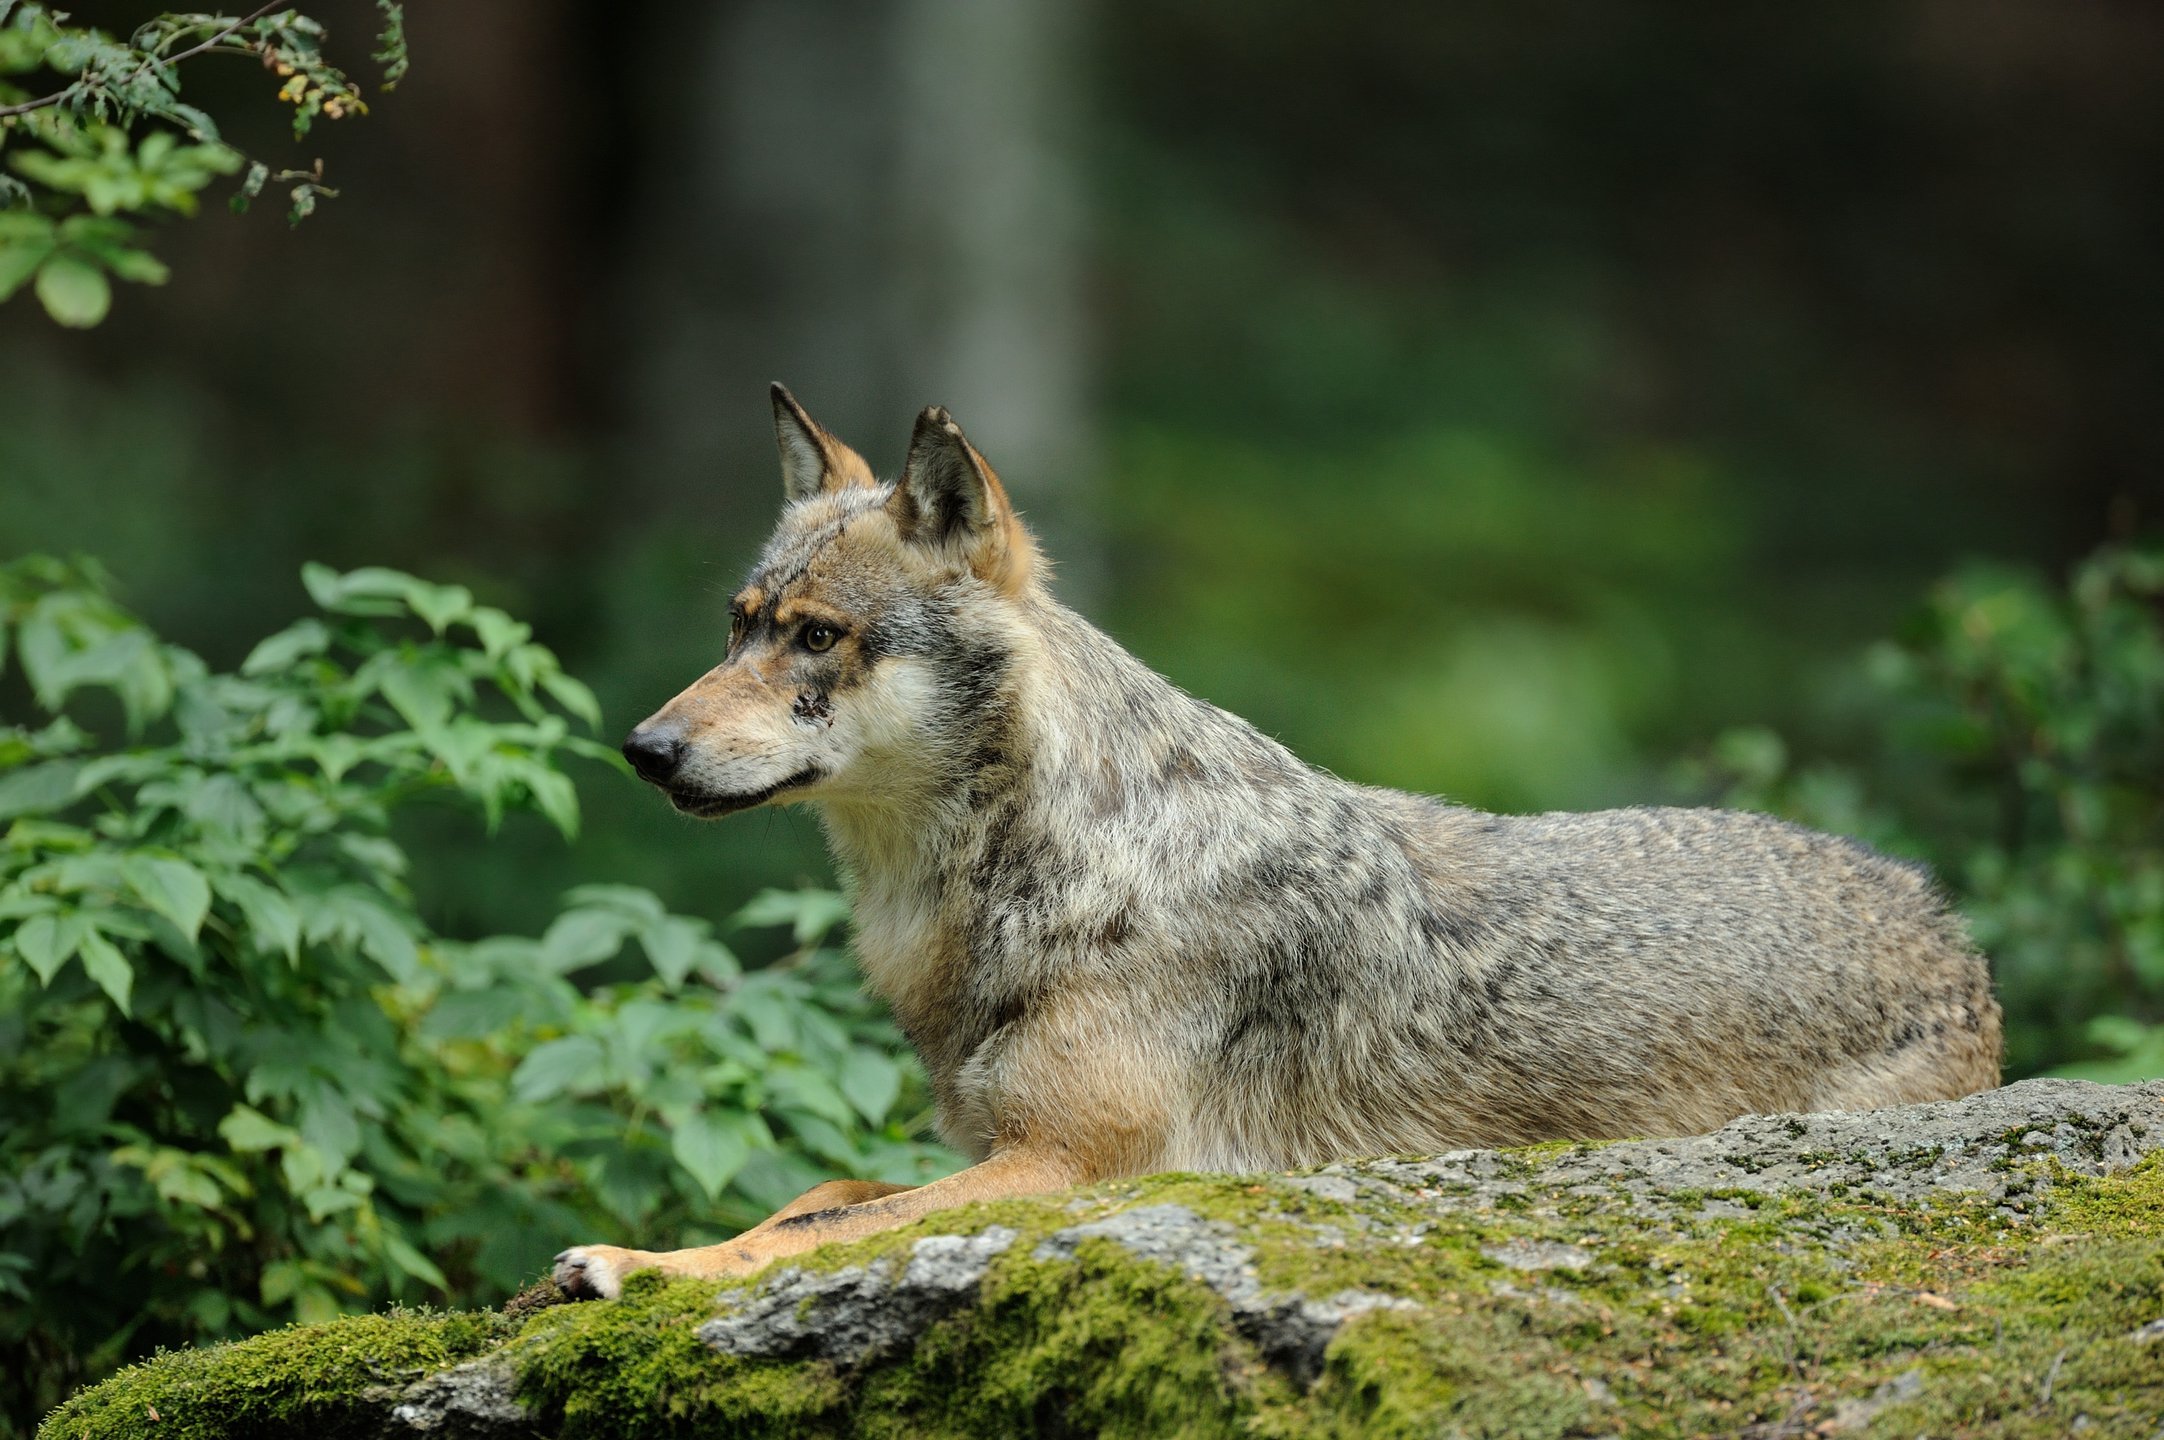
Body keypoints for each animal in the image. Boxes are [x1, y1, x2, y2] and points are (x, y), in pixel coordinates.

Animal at [551, 385, 2001, 1298]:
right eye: (738, 625)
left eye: (817, 637)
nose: (643, 748)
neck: (1057, 869)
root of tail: (1950, 931)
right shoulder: (993, 1147)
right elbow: (810, 1200)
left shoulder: (1063, 1166)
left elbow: (812, 1230)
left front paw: (636, 1269)